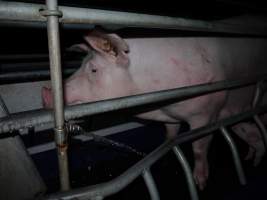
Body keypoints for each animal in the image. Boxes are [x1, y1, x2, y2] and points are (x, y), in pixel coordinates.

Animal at [42, 30, 267, 190]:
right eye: (80, 65)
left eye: (94, 70)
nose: (45, 91)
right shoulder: (170, 116)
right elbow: (170, 136)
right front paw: (168, 156)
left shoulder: (206, 111)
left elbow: (198, 147)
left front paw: (200, 183)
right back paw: (251, 160)